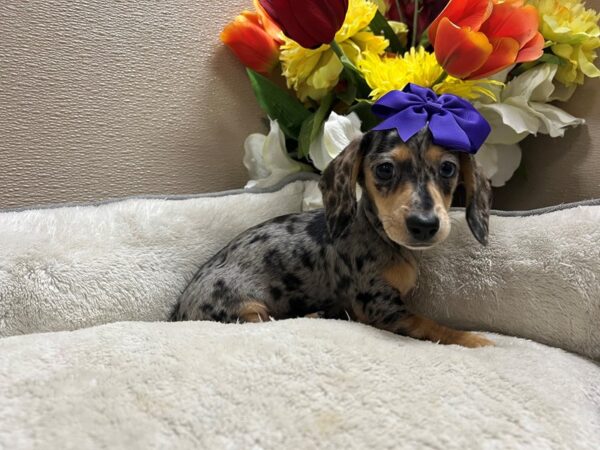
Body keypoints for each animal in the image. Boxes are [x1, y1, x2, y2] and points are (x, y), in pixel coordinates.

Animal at [171, 127, 494, 348]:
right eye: (385, 169)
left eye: (448, 168)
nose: (424, 224)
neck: (380, 237)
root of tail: (178, 314)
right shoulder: (383, 309)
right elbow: (432, 325)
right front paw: (473, 339)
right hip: (248, 310)